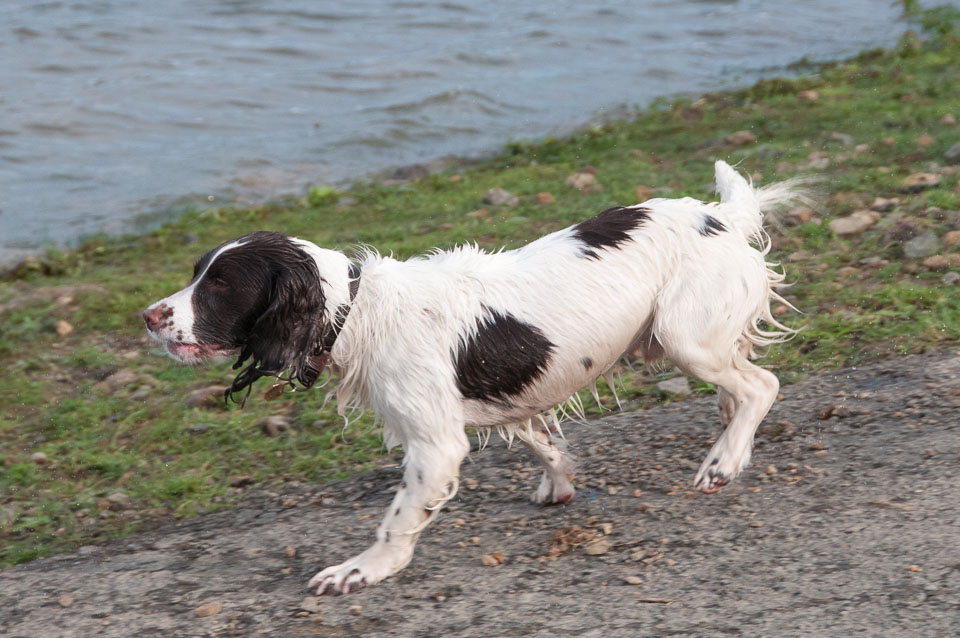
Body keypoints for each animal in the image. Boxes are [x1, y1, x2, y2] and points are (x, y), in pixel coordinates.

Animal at [142, 160, 804, 596]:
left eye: (220, 286)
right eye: (196, 273)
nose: (148, 317)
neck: (354, 309)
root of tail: (720, 216)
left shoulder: (435, 445)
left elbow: (398, 519)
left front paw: (360, 570)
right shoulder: (505, 400)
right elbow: (543, 441)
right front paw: (560, 485)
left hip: (683, 338)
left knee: (760, 385)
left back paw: (722, 462)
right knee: (738, 387)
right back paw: (729, 440)